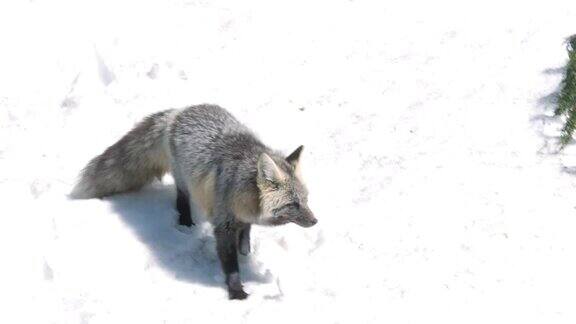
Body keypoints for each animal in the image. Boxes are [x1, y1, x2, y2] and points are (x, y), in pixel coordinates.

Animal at [71, 104, 320, 298]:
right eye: (292, 204)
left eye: (306, 200)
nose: (315, 221)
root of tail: (180, 111)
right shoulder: (223, 224)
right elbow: (230, 265)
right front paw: (236, 292)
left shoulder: (241, 217)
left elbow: (246, 231)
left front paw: (245, 248)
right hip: (183, 178)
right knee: (182, 196)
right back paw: (185, 219)